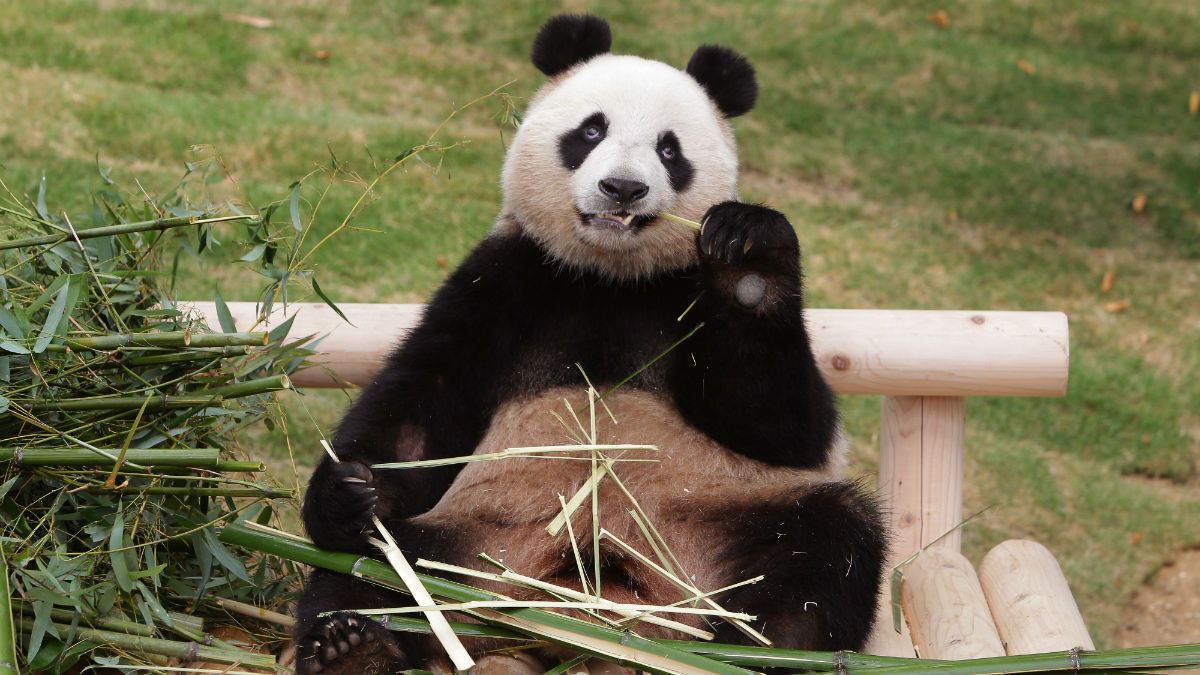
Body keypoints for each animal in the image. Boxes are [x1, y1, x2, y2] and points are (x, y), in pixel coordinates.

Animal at [295, 14, 886, 675]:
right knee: (373, 566)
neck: (609, 279)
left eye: (669, 149)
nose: (622, 188)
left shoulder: (680, 296)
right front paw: (347, 492)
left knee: (826, 542)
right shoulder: (506, 281)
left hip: (711, 528)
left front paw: (749, 260)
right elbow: (421, 405)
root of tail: (583, 618)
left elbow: (781, 425)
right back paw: (354, 644)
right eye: (591, 129)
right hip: (475, 540)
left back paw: (769, 652)